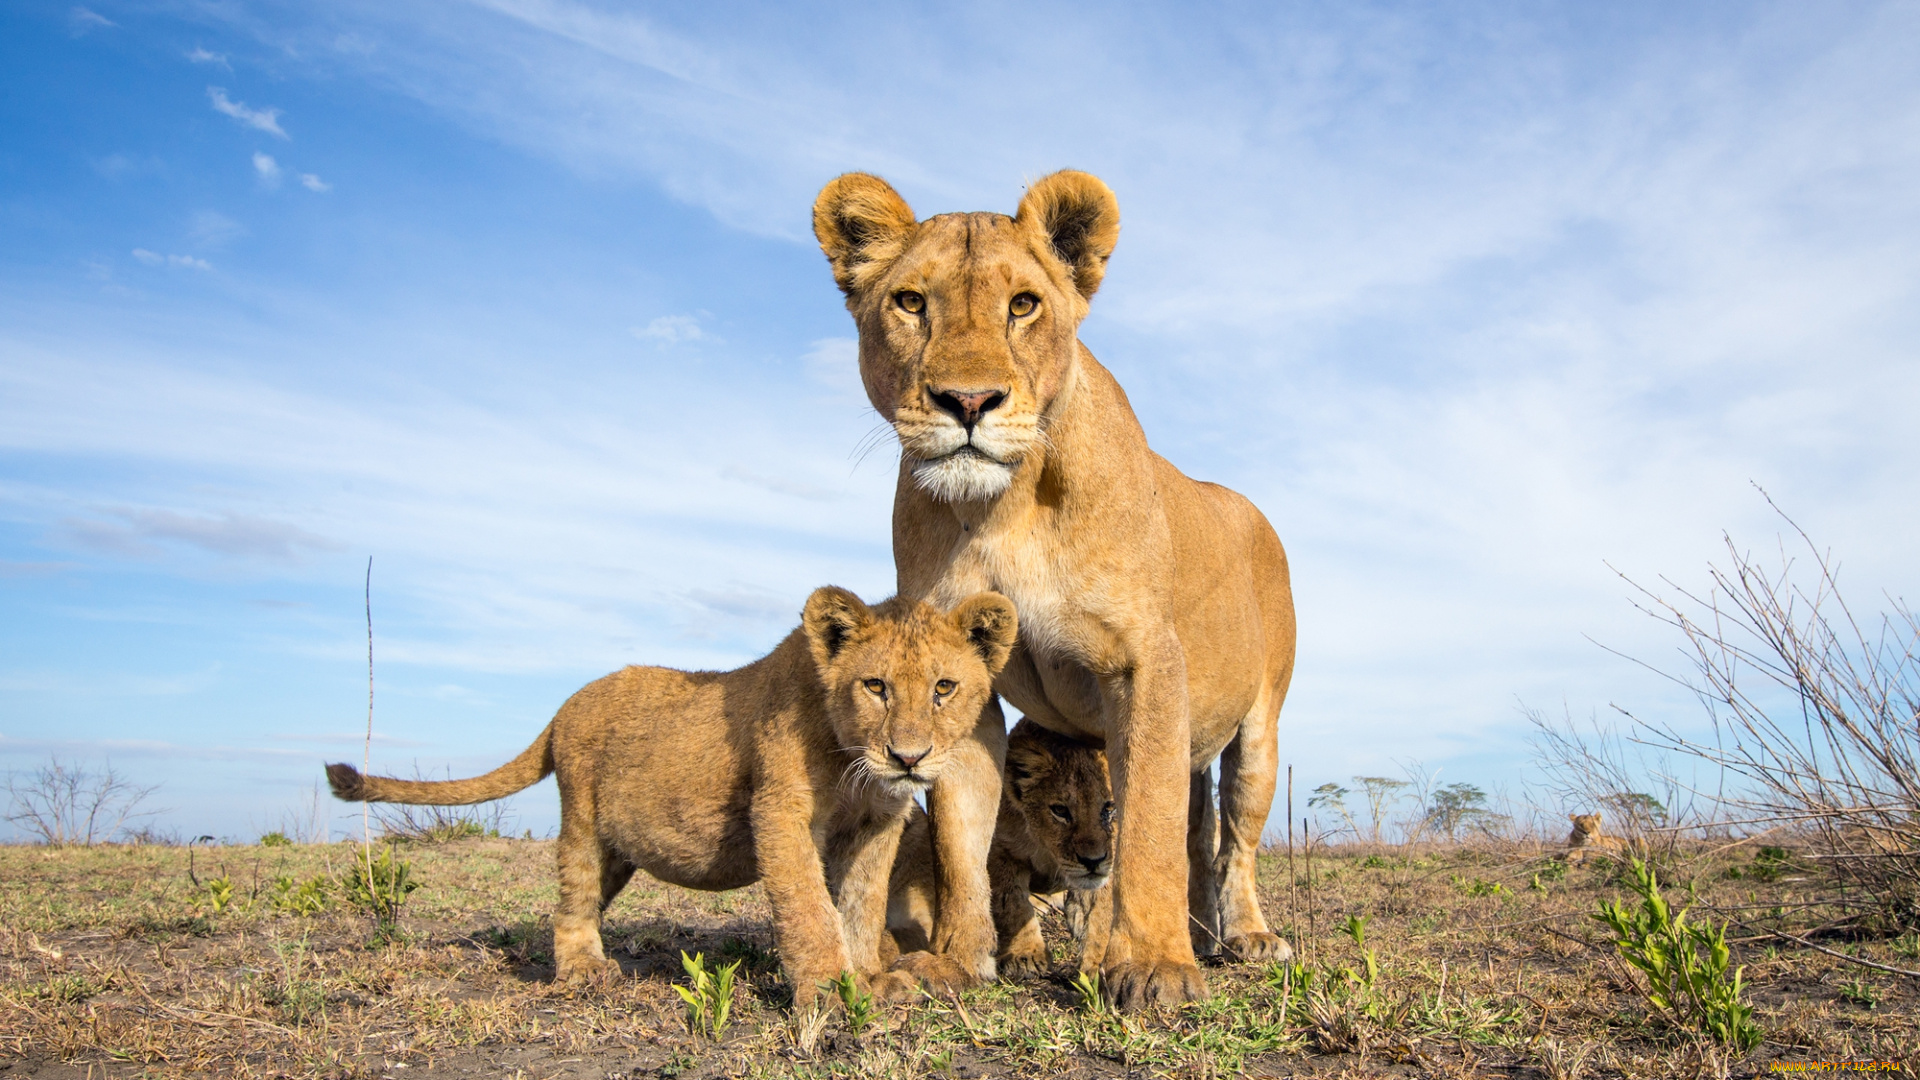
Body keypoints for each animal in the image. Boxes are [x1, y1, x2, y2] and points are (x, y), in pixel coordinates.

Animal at [330, 584, 1021, 1006]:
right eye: (876, 686)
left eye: (944, 687)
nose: (909, 757)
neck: (853, 761)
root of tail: (562, 707)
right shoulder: (780, 809)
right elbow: (807, 905)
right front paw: (828, 991)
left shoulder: (880, 820)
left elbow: (860, 904)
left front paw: (870, 979)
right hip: (582, 819)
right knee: (572, 898)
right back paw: (583, 970)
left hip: (619, 848)